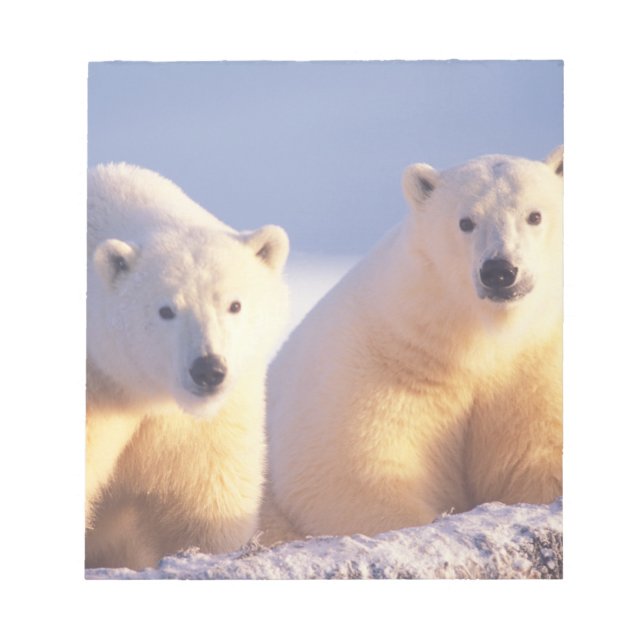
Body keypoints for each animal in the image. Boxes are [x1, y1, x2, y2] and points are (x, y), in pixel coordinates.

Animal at [261, 147, 563, 543]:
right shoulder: (377, 362)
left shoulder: (535, 365)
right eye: (465, 221)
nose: (499, 270)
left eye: (534, 215)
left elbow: (540, 453)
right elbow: (352, 471)